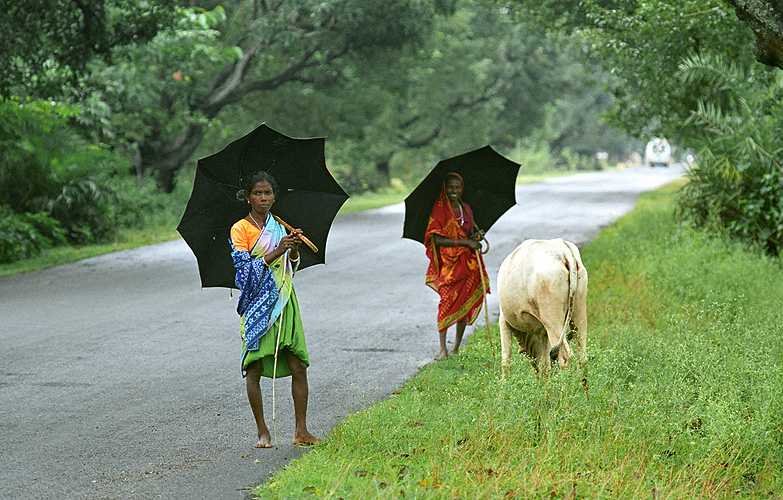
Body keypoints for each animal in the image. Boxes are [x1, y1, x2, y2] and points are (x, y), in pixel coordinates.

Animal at [496, 238, 588, 376]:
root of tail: (563, 251)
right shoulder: (544, 333)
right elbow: (545, 365)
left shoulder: (504, 321)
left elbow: (506, 363)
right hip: (578, 311)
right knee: (582, 358)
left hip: (552, 321)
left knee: (565, 359)